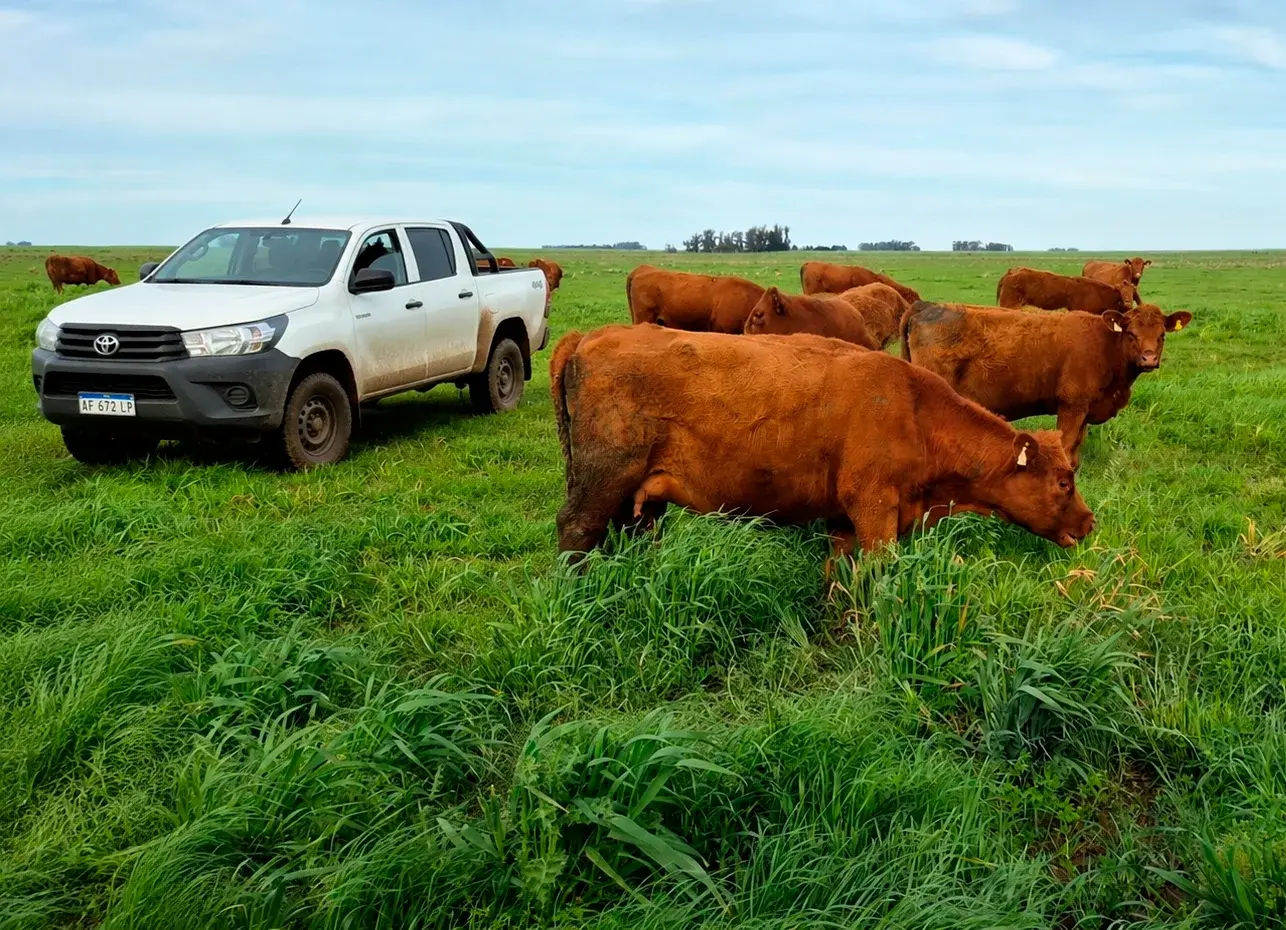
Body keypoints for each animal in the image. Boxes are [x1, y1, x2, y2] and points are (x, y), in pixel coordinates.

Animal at [550, 324, 1095, 560]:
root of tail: (590, 336)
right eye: (1064, 483)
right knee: (575, 531)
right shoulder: (875, 513)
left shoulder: (844, 522)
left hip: (638, 497)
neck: (915, 410)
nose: (1090, 522)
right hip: (600, 482)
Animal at [901, 301, 1192, 469]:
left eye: (1162, 335)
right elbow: (1066, 447)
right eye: (1131, 333)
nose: (1149, 359)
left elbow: (1076, 450)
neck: (1106, 346)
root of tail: (926, 305)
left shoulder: (1085, 409)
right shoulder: (1072, 406)